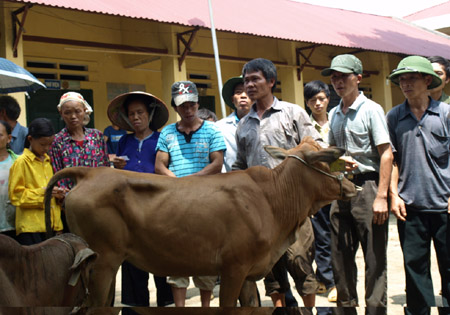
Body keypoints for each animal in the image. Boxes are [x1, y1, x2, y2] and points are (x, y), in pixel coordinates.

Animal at [44, 137, 356, 308]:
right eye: (327, 164)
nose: (353, 185)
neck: (272, 199)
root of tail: (90, 173)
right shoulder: (233, 267)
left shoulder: (248, 273)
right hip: (104, 261)